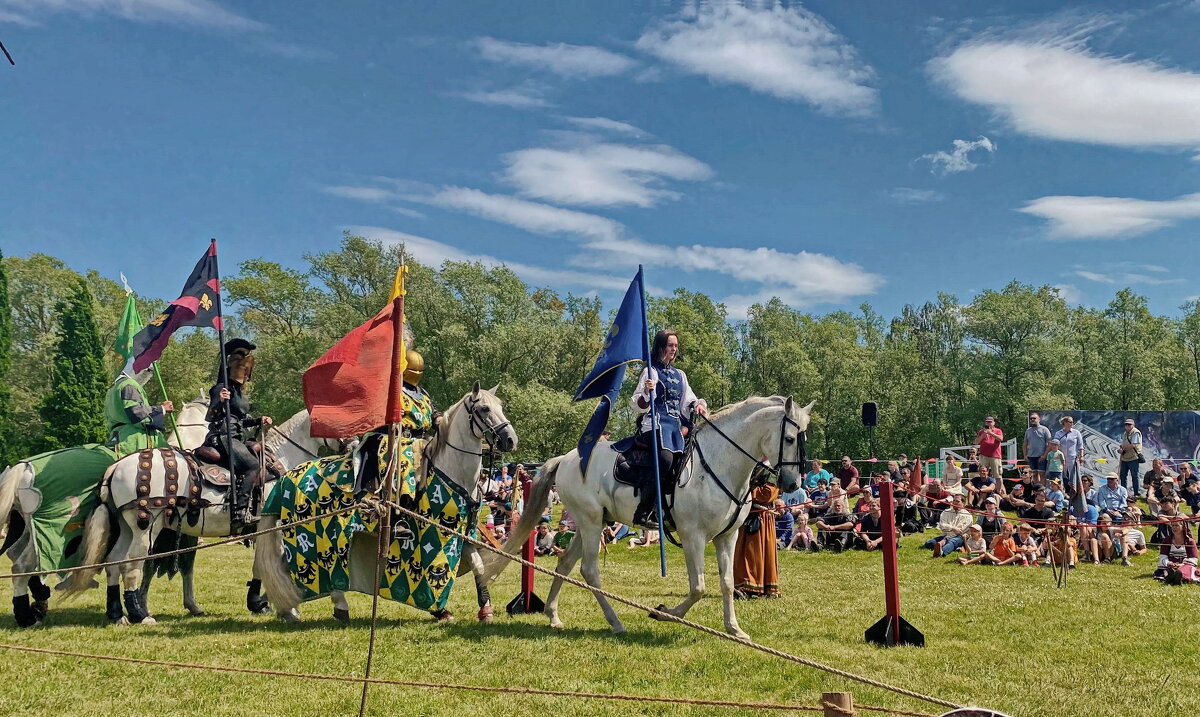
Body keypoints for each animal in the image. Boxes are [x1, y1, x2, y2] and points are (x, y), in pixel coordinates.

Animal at [64, 410, 338, 623]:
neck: (280, 459)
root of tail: (116, 467)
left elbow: (260, 565)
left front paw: (259, 601)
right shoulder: (271, 526)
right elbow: (270, 563)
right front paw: (282, 606)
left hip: (127, 527)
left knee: (114, 561)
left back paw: (117, 614)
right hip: (147, 527)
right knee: (132, 565)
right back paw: (140, 614)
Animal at [253, 386, 516, 628]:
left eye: (501, 407)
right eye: (484, 409)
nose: (511, 440)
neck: (449, 470)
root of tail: (285, 478)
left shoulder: (463, 533)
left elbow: (479, 567)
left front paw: (485, 610)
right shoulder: (436, 535)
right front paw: (440, 610)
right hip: (312, 534)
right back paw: (303, 608)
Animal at [482, 398, 811, 642]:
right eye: (790, 438)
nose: (793, 483)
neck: (718, 464)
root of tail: (566, 459)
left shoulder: (726, 538)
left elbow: (727, 583)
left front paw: (734, 630)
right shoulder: (693, 537)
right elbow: (698, 587)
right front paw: (663, 612)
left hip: (592, 523)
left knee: (565, 564)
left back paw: (553, 616)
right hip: (590, 522)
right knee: (589, 570)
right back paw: (615, 622)